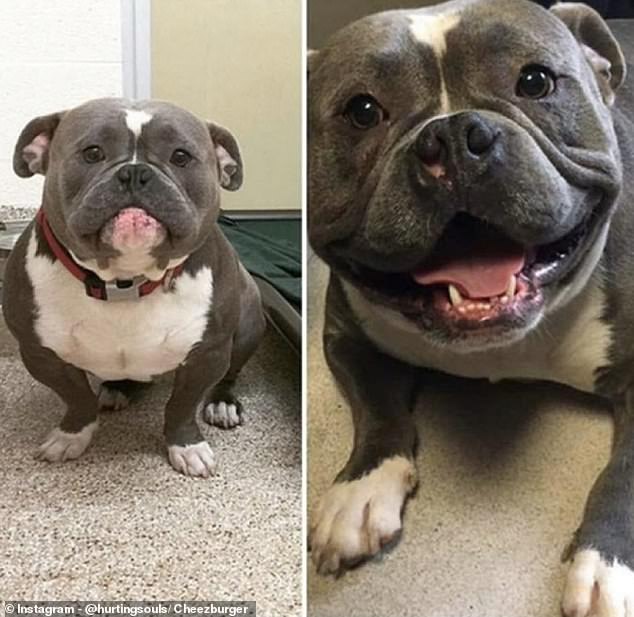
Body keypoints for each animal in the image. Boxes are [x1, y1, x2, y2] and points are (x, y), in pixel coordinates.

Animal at [3, 98, 264, 476]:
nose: (136, 173)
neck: (123, 280)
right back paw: (117, 389)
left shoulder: (208, 354)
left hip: (249, 322)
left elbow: (182, 406)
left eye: (181, 156)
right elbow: (76, 397)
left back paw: (222, 404)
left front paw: (187, 446)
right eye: (92, 153)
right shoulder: (41, 354)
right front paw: (71, 435)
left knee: (229, 375)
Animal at [308, 0, 632, 612]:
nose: (455, 135)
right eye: (362, 111)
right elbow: (378, 412)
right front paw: (361, 490)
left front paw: (607, 564)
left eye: (536, 81)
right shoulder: (347, 334)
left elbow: (623, 473)